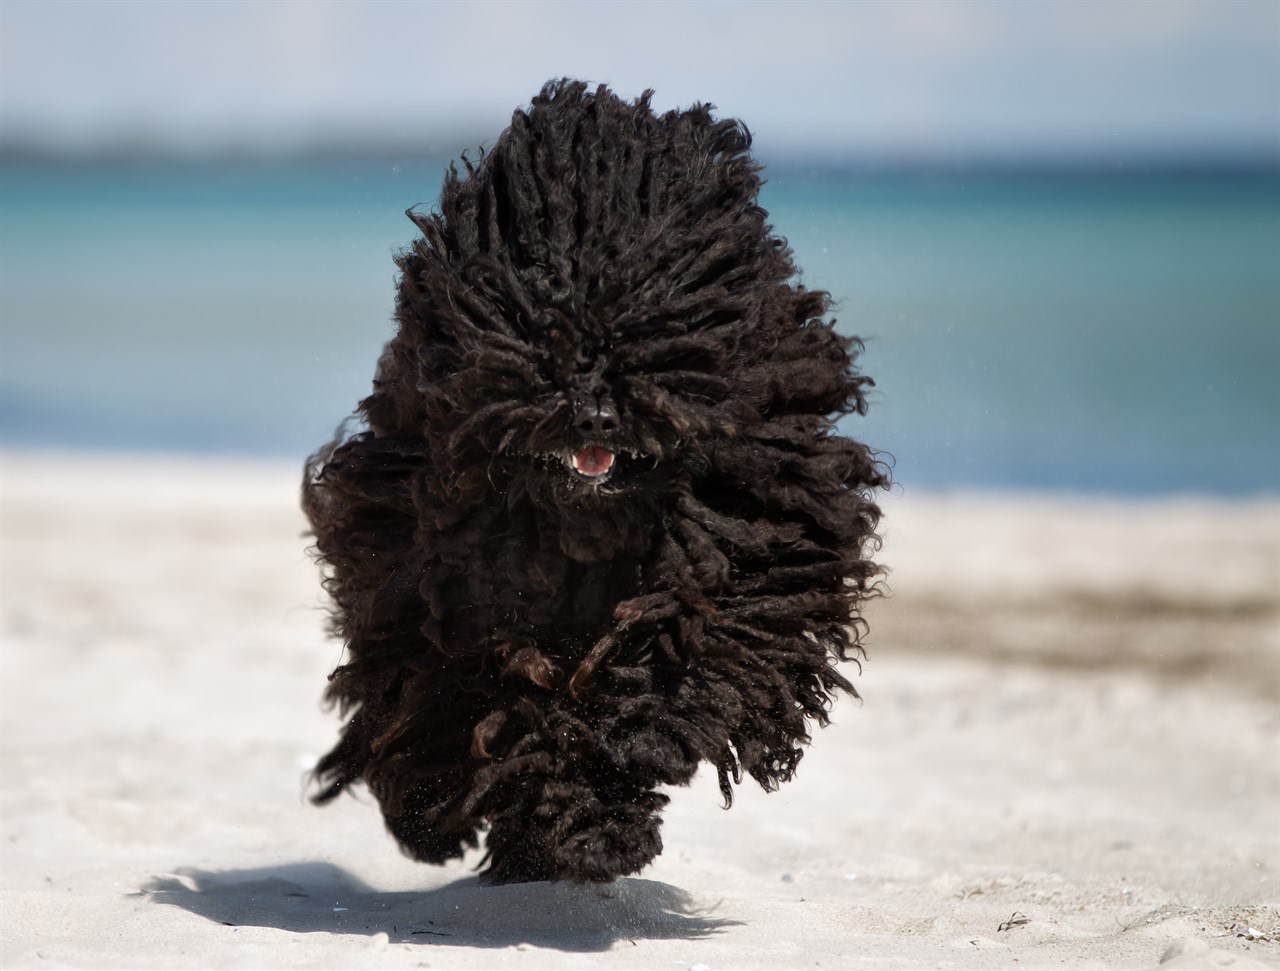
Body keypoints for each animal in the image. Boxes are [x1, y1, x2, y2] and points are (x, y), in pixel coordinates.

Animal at [307, 83, 890, 885]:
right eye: (535, 338)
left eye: (655, 332)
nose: (594, 412)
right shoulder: (436, 574)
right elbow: (485, 699)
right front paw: (569, 825)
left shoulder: (747, 535)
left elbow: (694, 653)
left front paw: (608, 783)